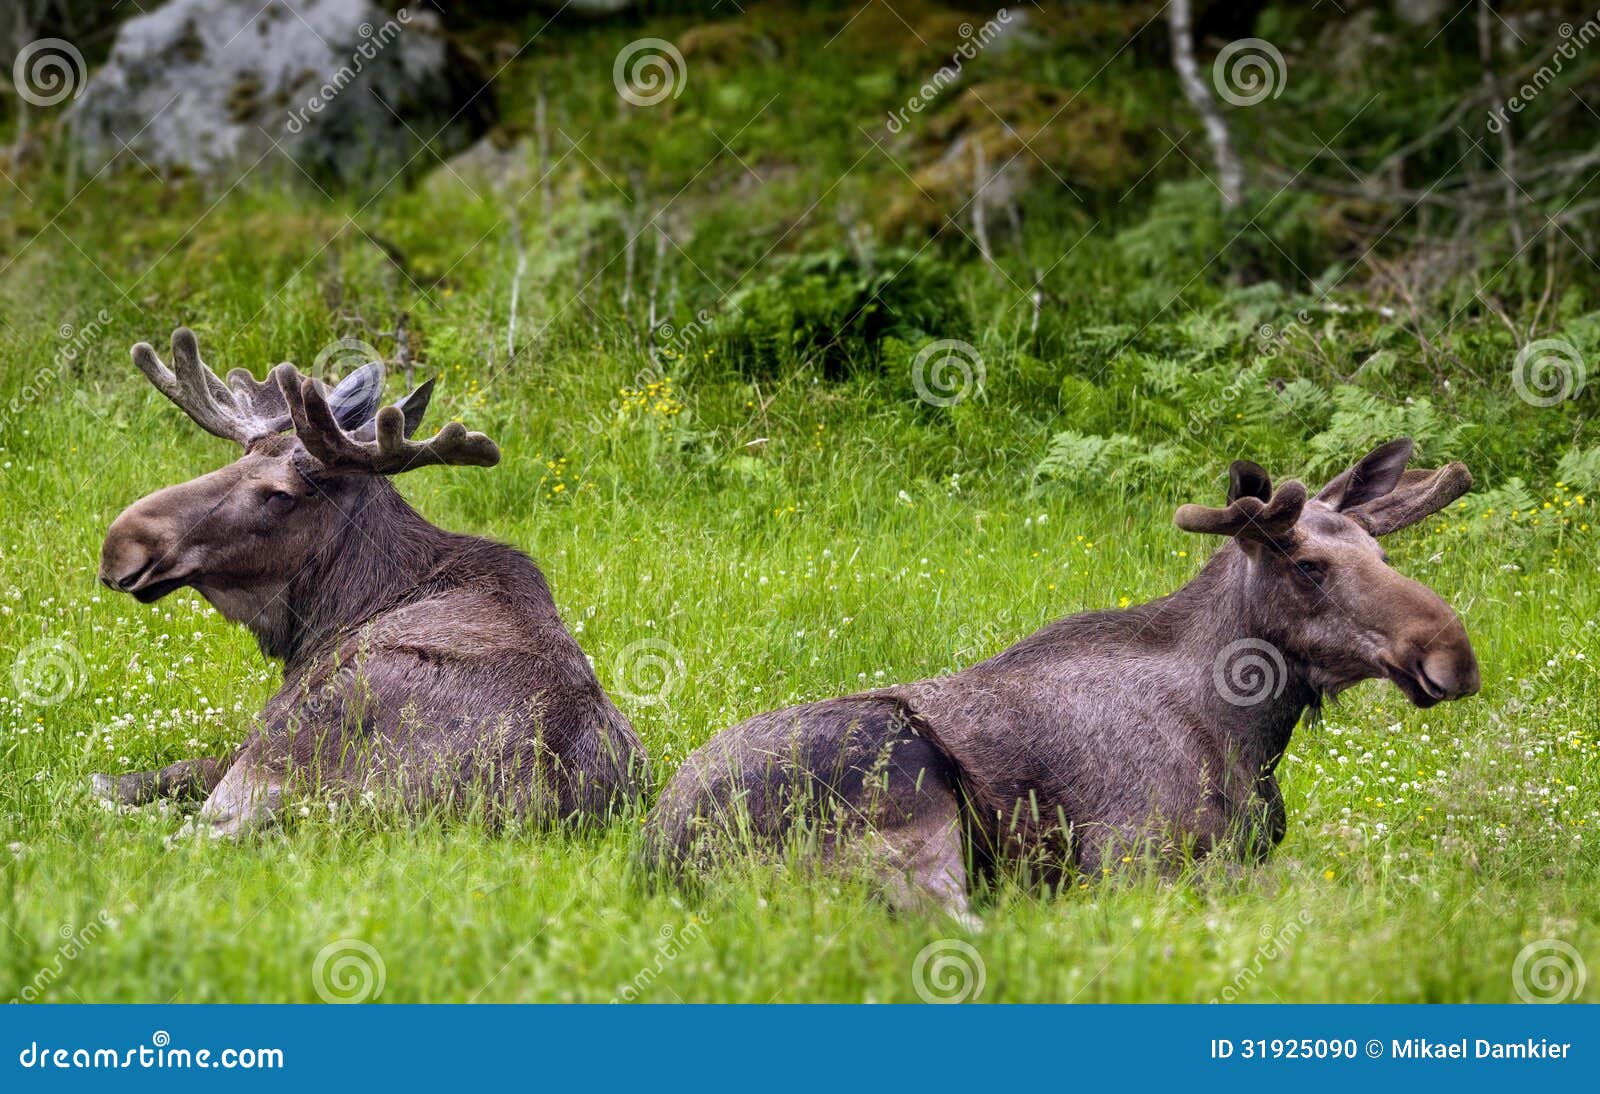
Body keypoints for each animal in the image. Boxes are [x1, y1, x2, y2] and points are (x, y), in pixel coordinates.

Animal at [90, 329, 643, 831]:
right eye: (239, 461)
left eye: (281, 495)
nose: (121, 543)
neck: (334, 611)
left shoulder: (258, 732)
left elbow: (149, 775)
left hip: (277, 761)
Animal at [643, 441, 1478, 921]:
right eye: (1308, 566)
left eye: (1381, 552)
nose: (1454, 655)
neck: (1249, 733)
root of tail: (656, 857)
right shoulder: (1132, 861)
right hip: (903, 795)